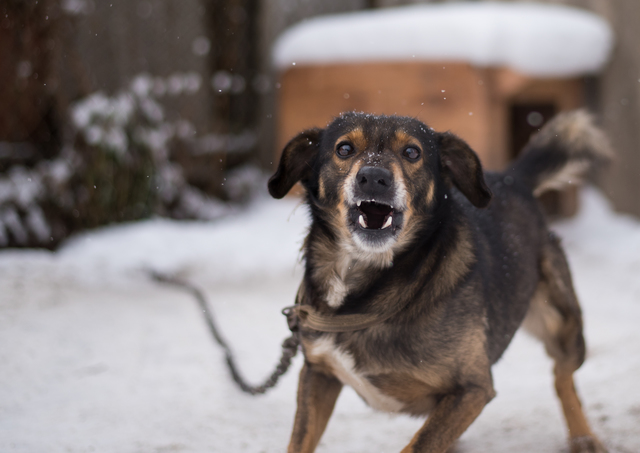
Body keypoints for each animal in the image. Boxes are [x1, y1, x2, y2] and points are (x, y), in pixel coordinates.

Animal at [268, 110, 612, 452]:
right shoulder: (318, 374)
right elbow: (299, 442)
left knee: (562, 375)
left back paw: (583, 437)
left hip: (562, 323)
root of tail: (513, 180)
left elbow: (418, 445)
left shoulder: (472, 389)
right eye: (344, 149)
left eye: (412, 152)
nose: (374, 177)